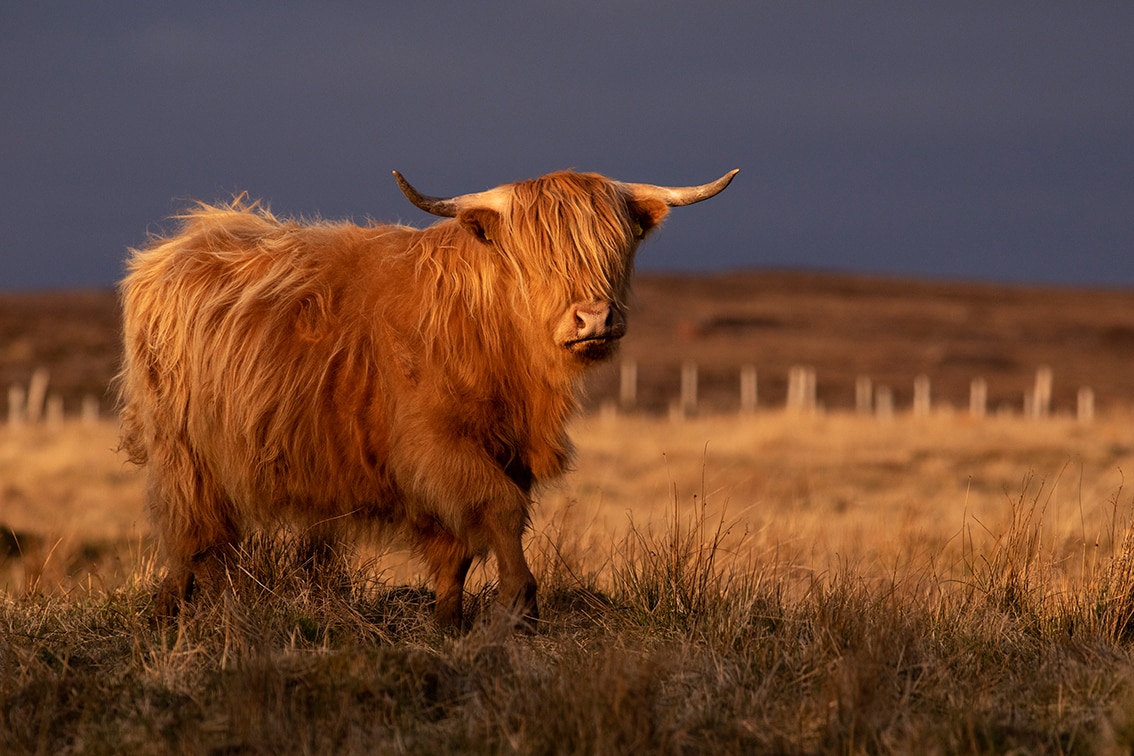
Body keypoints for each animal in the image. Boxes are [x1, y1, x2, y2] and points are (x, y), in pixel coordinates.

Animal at [115, 166, 734, 625]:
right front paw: (518, 602)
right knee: (192, 536)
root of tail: (177, 245)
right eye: (535, 258)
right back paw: (184, 615)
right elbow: (500, 510)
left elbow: (460, 546)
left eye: (616, 246)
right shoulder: (433, 445)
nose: (595, 318)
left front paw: (447, 621)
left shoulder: (502, 451)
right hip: (184, 451)